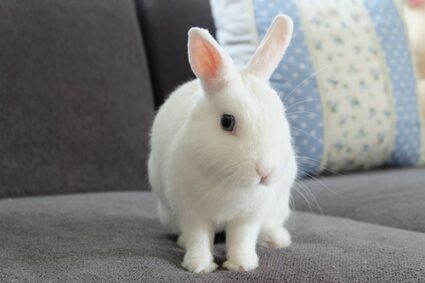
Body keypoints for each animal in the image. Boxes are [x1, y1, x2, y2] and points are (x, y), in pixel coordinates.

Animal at [148, 15, 294, 272]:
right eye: (227, 121)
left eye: (280, 116)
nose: (264, 171)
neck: (230, 181)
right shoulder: (191, 211)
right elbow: (198, 238)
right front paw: (199, 266)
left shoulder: (248, 216)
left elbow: (242, 238)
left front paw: (241, 265)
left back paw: (277, 239)